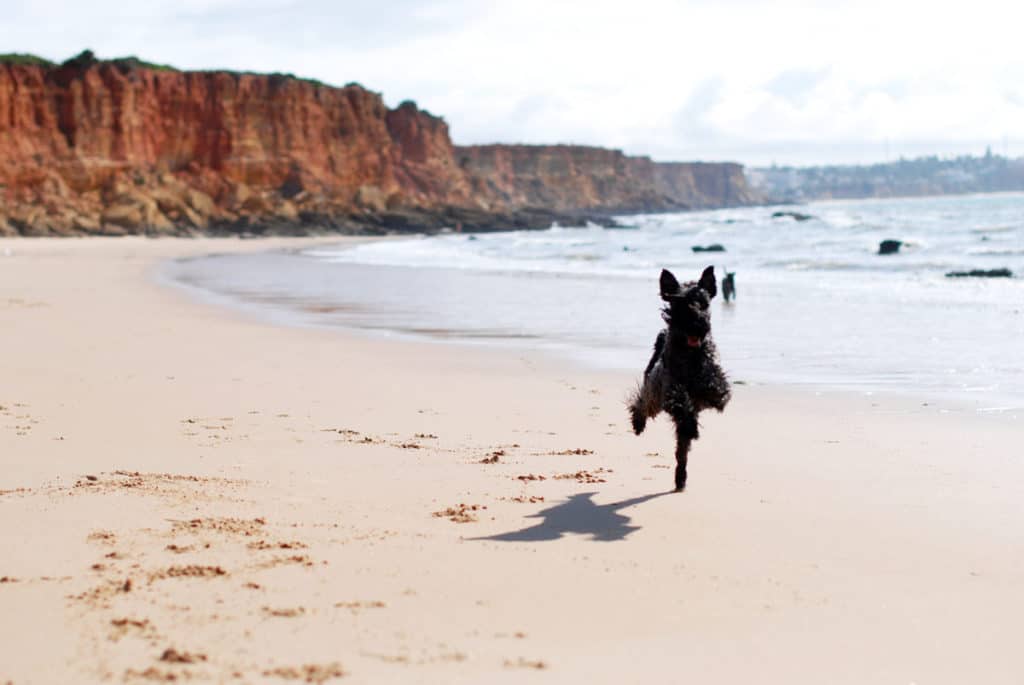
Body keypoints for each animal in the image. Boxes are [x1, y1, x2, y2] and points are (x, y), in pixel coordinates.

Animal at [622, 264, 729, 489]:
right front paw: (689, 419)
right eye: (680, 304)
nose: (697, 325)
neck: (689, 353)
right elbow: (679, 399)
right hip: (653, 396)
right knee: (642, 405)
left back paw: (681, 476)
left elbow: (715, 388)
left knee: (681, 453)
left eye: (704, 303)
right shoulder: (669, 388)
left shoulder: (716, 381)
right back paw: (639, 423)